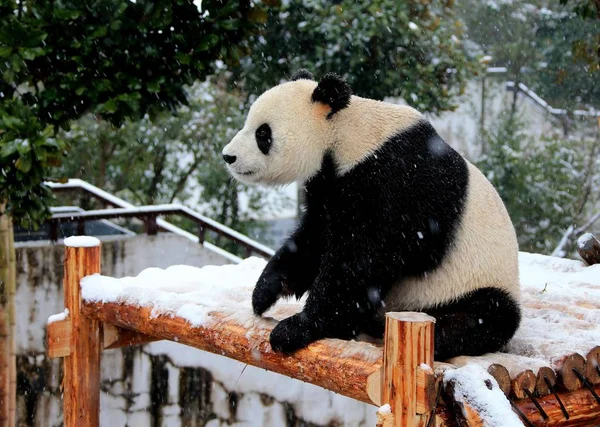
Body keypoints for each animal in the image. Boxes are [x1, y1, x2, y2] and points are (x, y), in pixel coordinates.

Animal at [221, 71, 520, 362]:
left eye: (263, 133)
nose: (228, 156)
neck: (347, 135)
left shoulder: (393, 184)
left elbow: (359, 262)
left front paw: (294, 329)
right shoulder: (331, 186)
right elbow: (313, 238)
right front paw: (264, 291)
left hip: (471, 283)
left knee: (483, 315)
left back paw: (430, 335)